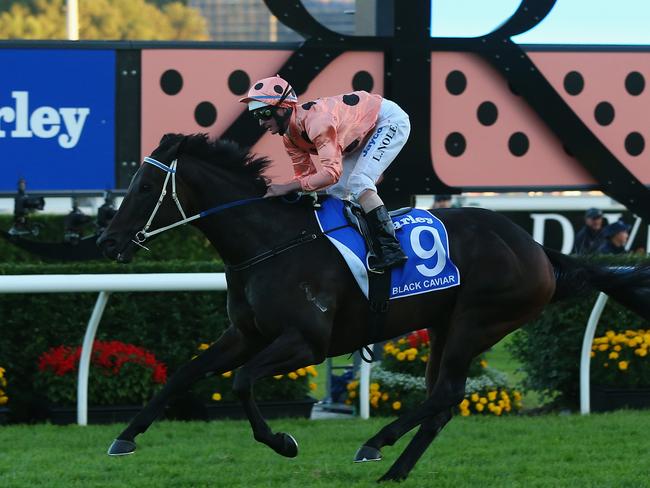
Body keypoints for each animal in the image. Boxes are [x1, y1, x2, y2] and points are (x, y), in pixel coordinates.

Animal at [96, 133, 648, 480]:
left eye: (145, 187)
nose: (108, 241)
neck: (270, 242)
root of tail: (537, 248)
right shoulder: (246, 335)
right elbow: (185, 373)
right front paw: (125, 436)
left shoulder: (306, 343)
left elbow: (241, 382)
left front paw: (283, 441)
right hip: (445, 326)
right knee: (442, 402)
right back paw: (396, 470)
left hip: (476, 322)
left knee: (445, 393)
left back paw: (377, 442)